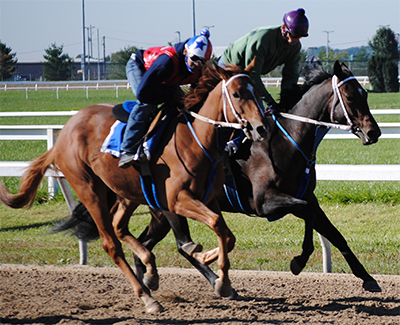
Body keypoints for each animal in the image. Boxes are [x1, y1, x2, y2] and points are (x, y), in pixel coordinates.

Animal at [0, 62, 270, 312]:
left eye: (257, 91)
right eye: (236, 93)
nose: (261, 128)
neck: (195, 140)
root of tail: (62, 135)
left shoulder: (208, 197)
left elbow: (227, 234)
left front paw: (213, 269)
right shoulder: (176, 199)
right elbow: (215, 226)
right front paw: (216, 274)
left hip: (126, 191)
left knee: (119, 225)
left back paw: (150, 270)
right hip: (89, 189)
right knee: (111, 243)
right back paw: (148, 298)